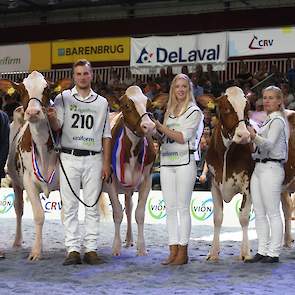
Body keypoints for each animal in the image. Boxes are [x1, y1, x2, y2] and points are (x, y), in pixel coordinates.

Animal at [106, 85, 158, 256]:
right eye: (126, 106)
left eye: (149, 105)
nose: (149, 126)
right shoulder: (109, 179)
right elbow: (117, 213)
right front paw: (116, 247)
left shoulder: (147, 178)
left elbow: (139, 214)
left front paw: (142, 248)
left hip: (129, 188)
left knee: (129, 207)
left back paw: (129, 239)